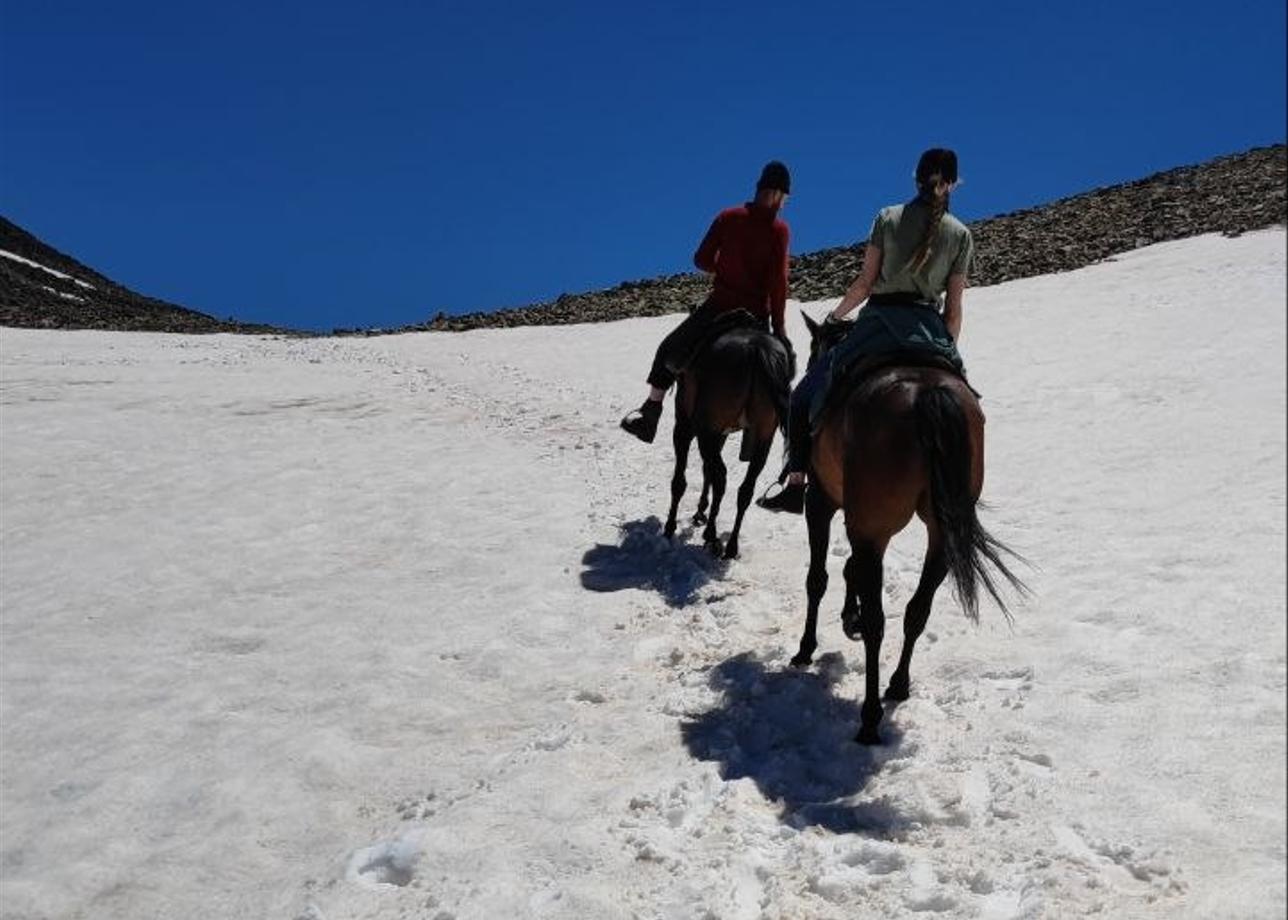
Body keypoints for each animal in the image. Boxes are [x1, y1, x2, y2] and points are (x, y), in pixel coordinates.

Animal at [664, 320, 793, 559]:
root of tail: (757, 349)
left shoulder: (685, 427)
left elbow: (680, 480)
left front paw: (670, 526)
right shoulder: (720, 434)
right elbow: (707, 471)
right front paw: (700, 511)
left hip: (705, 428)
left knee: (721, 477)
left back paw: (712, 535)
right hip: (763, 433)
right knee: (744, 488)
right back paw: (731, 544)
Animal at [783, 311, 1025, 742]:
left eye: (813, 349)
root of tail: (927, 395)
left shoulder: (822, 502)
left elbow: (818, 578)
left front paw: (806, 648)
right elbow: (850, 571)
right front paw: (848, 617)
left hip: (869, 524)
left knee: (878, 621)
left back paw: (869, 717)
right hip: (940, 533)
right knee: (916, 609)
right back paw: (897, 684)